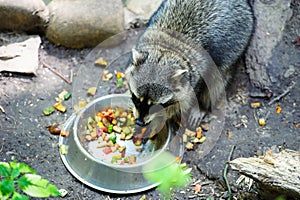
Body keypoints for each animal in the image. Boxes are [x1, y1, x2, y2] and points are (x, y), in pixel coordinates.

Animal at [125, 0, 254, 128]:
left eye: (157, 105)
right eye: (136, 98)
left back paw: (203, 106)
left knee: (217, 81)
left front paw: (160, 118)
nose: (139, 122)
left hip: (236, 44)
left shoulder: (199, 72)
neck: (167, 50)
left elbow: (186, 99)